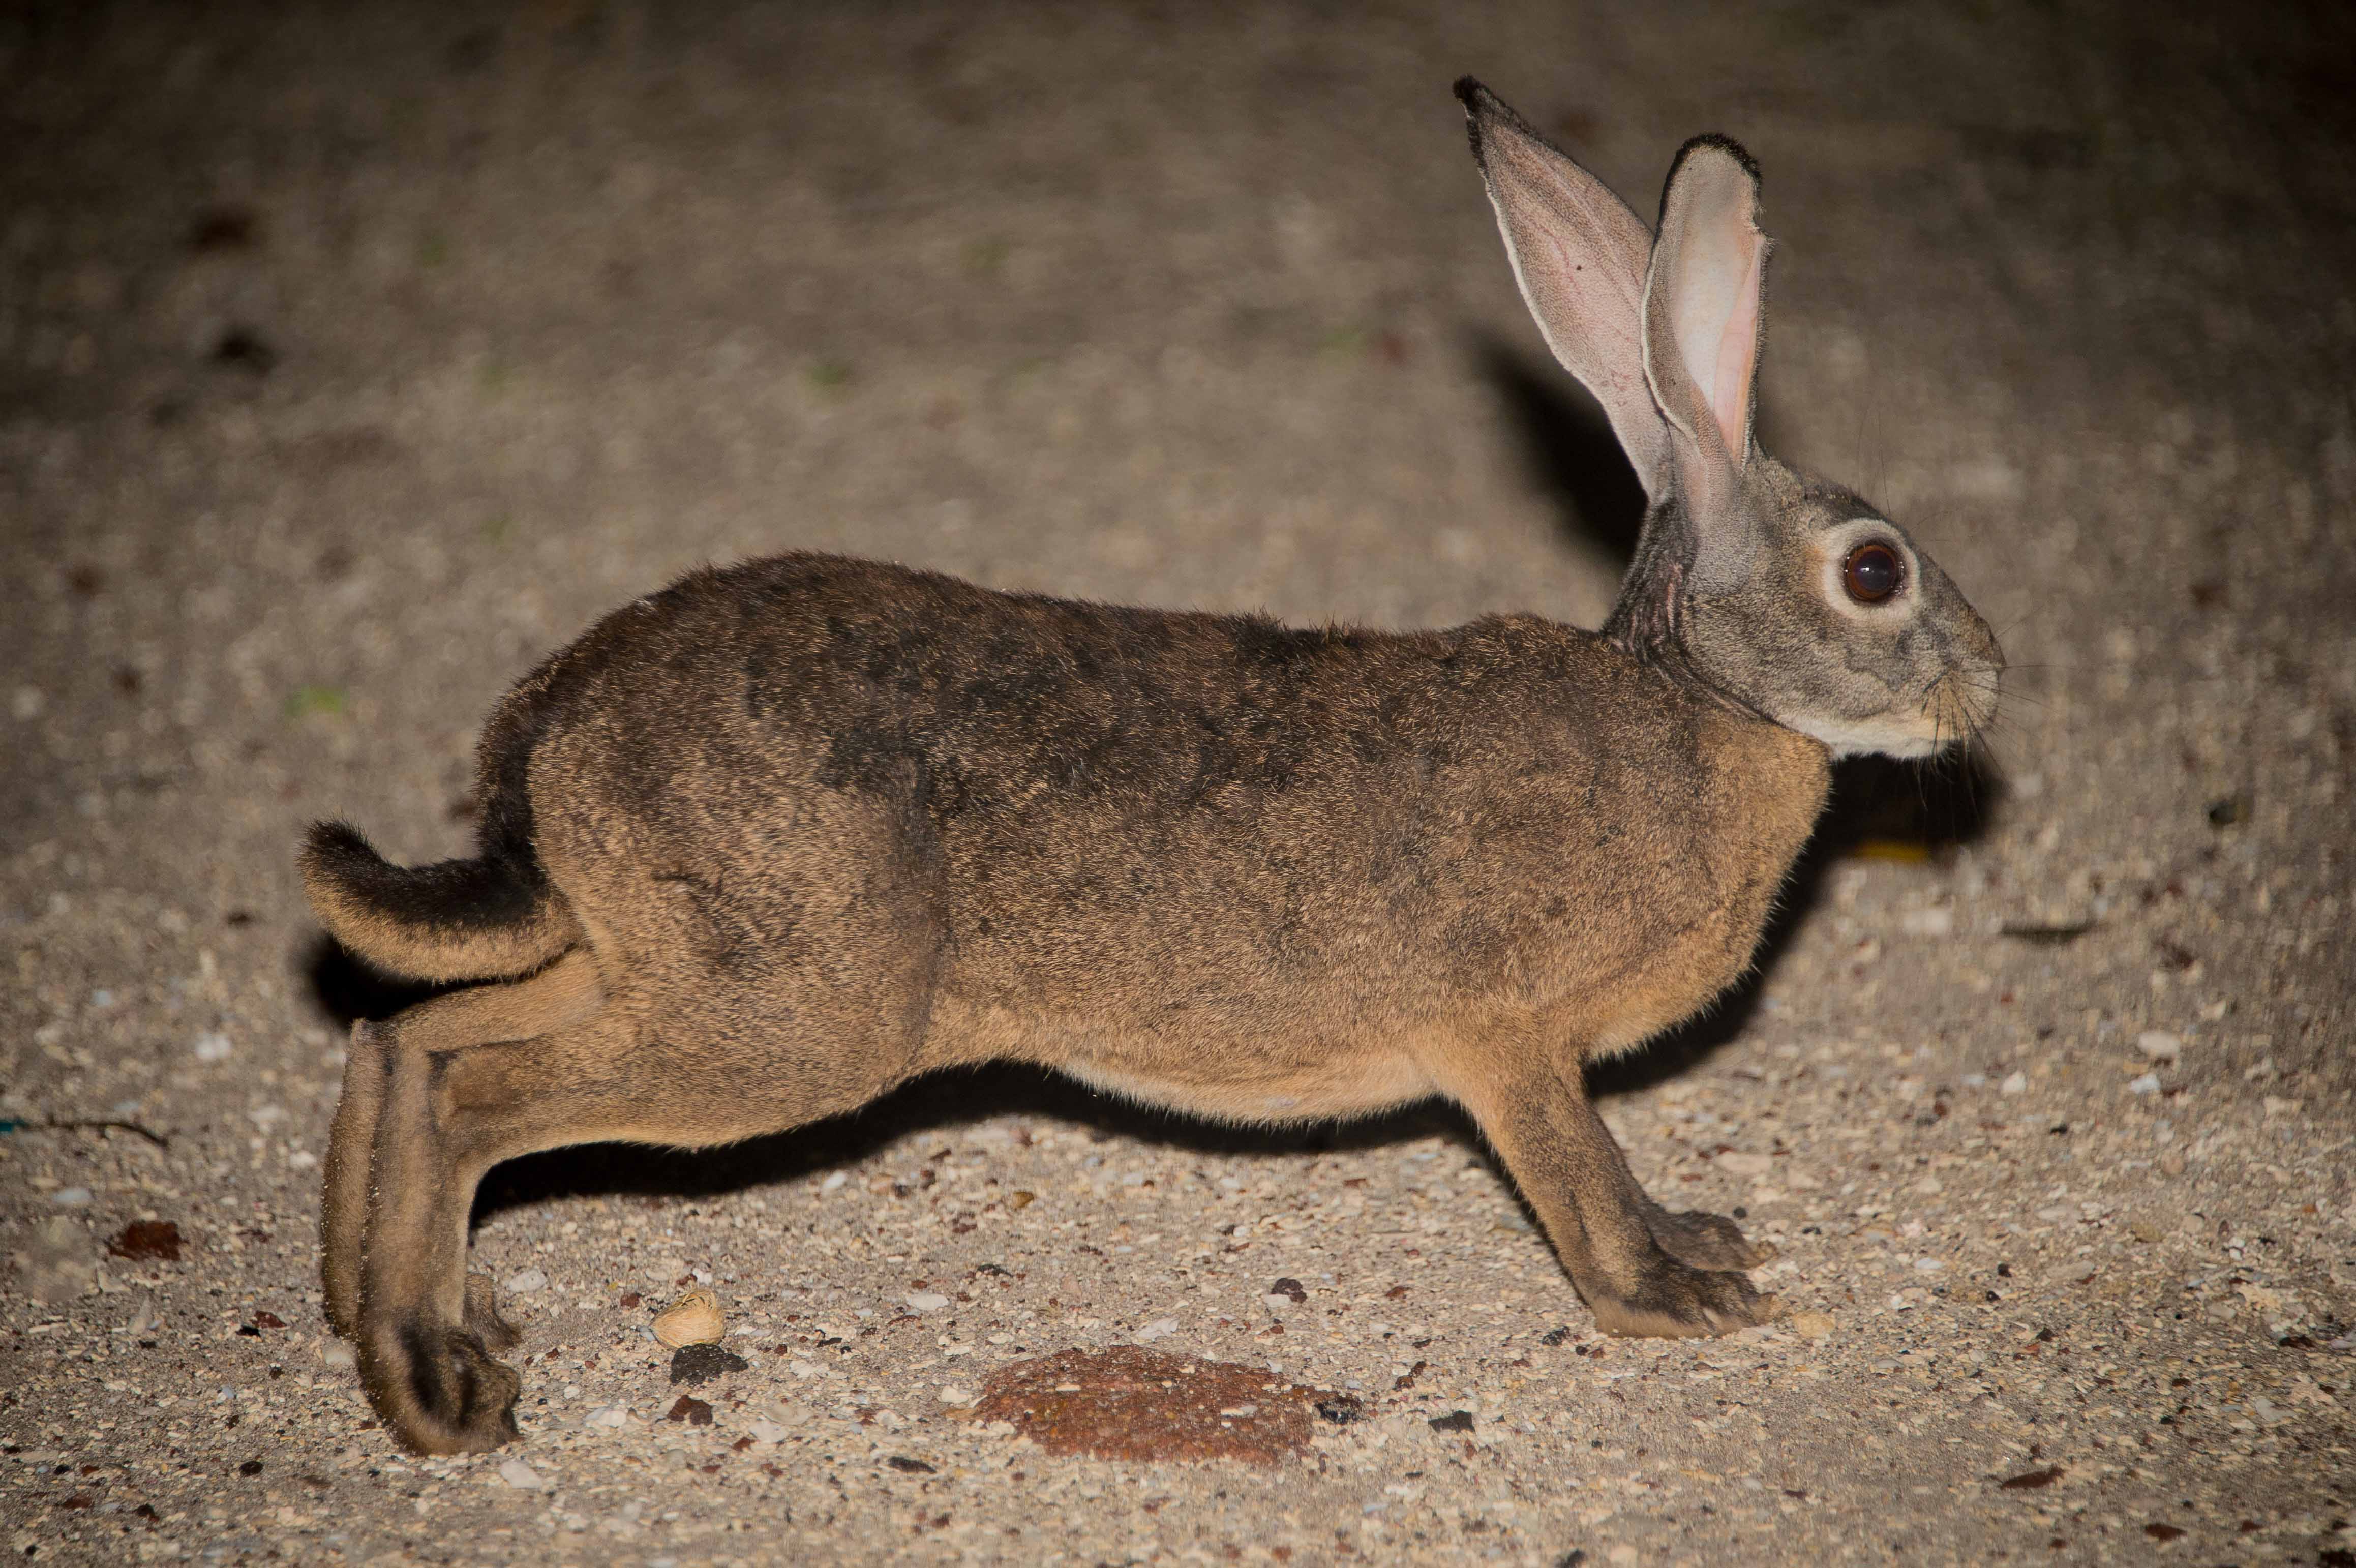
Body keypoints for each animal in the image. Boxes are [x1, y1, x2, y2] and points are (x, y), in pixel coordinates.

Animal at [304, 82, 2007, 1450]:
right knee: (471, 1086)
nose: (1983, 686)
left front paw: (1705, 1250)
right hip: (790, 1018)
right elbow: (1581, 1185)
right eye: (1873, 573)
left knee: (409, 1032)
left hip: (668, 962)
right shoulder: (1512, 1042)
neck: (1701, 702)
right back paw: (437, 1383)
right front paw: (1678, 1293)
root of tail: (550, 728)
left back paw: (362, 1302)